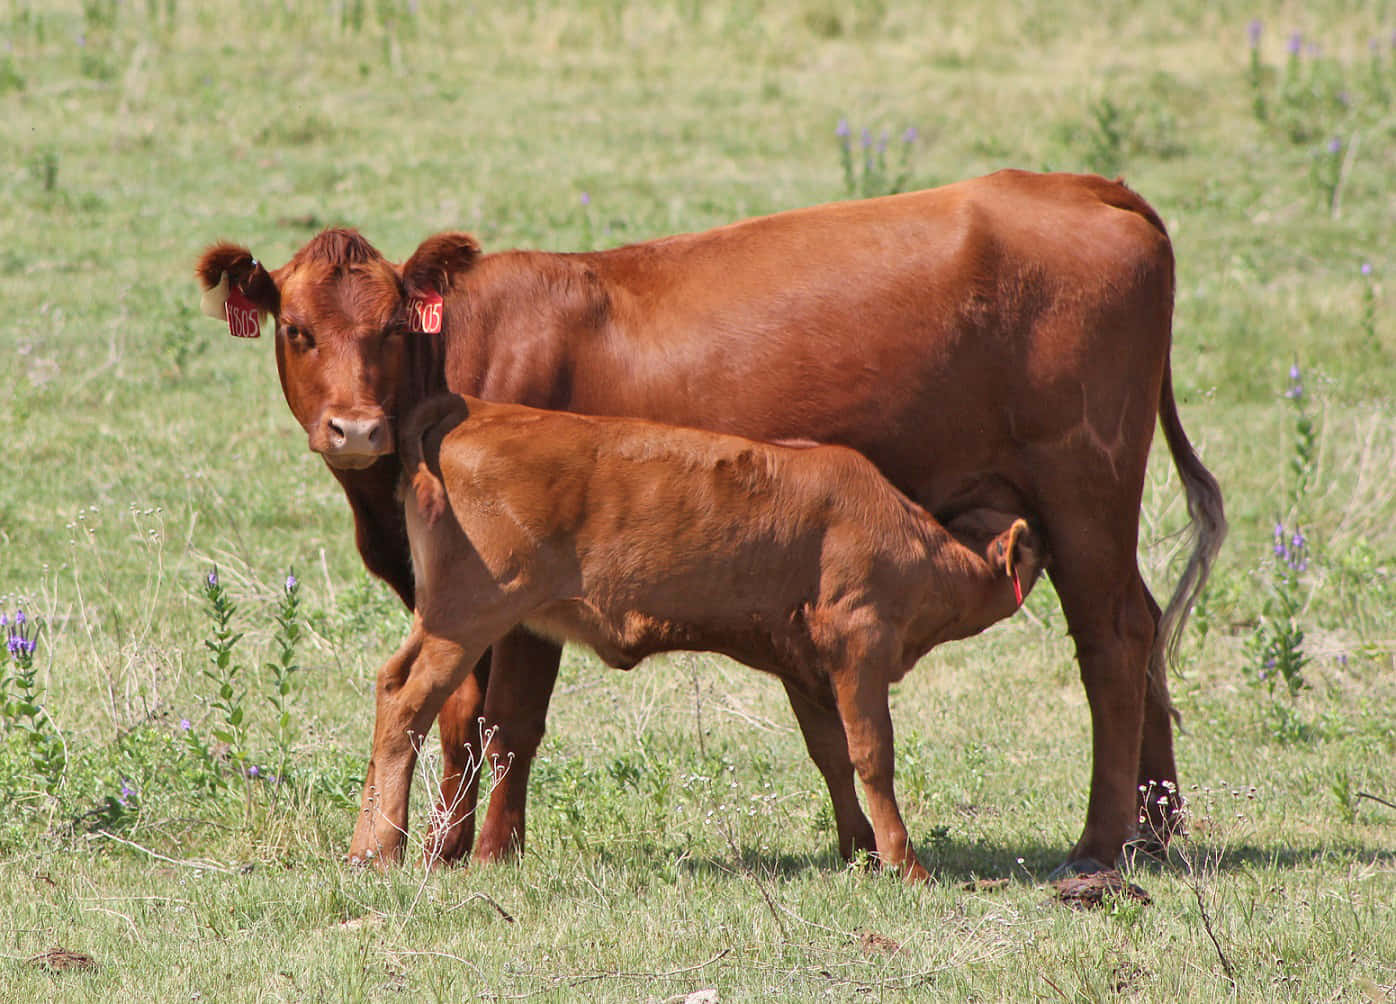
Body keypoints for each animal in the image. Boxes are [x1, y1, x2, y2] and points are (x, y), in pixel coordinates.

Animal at [350, 392, 1049, 876]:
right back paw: (385, 849)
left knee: (388, 686)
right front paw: (905, 865)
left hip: (442, 616)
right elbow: (872, 753)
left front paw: (859, 851)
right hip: (469, 613)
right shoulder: (860, 642)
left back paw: (361, 847)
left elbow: (829, 752)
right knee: (409, 704)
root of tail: (476, 411)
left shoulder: (802, 661)